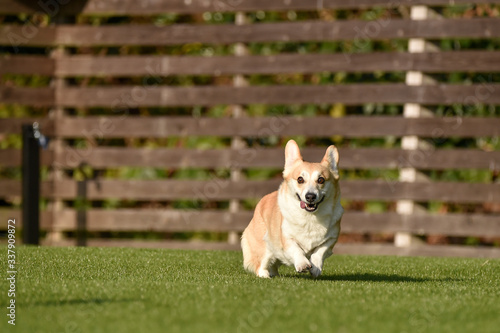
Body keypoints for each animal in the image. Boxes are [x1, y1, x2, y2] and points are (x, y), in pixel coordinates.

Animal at [242, 140, 344, 278]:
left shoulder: (330, 240)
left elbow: (319, 252)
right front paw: (303, 264)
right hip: (264, 245)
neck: (310, 217)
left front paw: (315, 268)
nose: (310, 196)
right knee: (261, 264)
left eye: (321, 179)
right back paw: (265, 276)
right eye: (300, 179)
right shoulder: (286, 237)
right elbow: (296, 249)